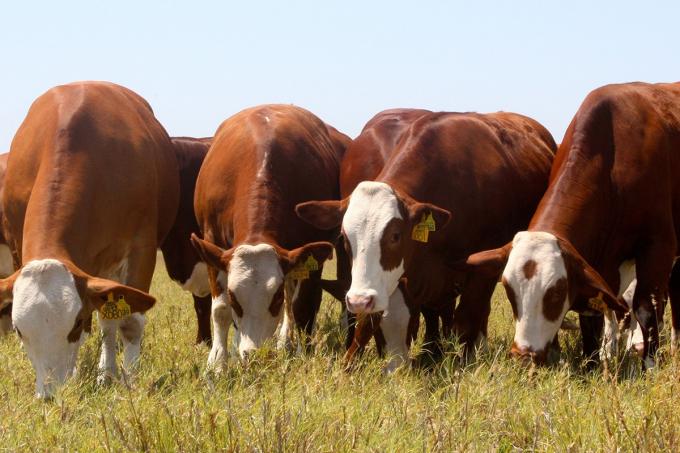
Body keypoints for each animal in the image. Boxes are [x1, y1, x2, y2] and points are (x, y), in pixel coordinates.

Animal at [0, 81, 181, 396]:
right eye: (20, 330)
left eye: (76, 323)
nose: (49, 396)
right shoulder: (15, 247)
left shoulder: (141, 248)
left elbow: (130, 321)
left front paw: (130, 381)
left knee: (110, 321)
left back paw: (106, 373)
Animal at [191, 104, 350, 366]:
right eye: (234, 298)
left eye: (273, 299)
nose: (254, 355)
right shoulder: (211, 241)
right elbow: (220, 310)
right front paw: (217, 362)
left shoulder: (308, 251)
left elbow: (301, 306)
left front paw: (301, 355)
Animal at [300, 109, 556, 368]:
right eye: (344, 238)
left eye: (395, 235)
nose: (360, 299)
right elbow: (378, 320)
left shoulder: (480, 270)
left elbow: (467, 317)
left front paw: (461, 362)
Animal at [464, 83, 680, 370]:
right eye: (509, 290)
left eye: (556, 294)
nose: (524, 355)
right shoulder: (593, 260)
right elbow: (594, 313)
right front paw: (593, 362)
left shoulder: (658, 245)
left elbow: (647, 307)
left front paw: (649, 364)